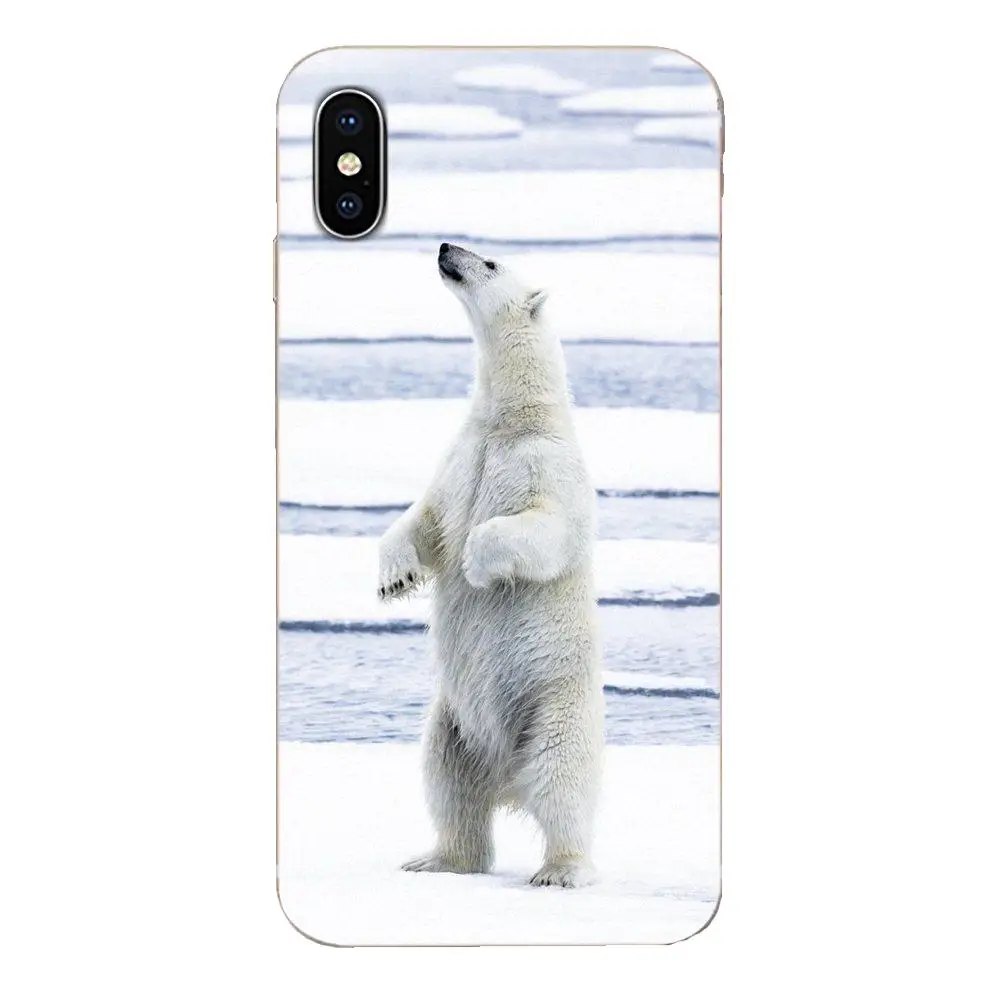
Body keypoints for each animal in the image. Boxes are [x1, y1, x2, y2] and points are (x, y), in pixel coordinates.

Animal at [376, 243, 604, 888]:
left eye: (493, 263)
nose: (446, 248)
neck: (512, 419)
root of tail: (509, 780)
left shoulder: (545, 464)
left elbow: (548, 528)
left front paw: (479, 563)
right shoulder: (460, 459)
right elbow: (426, 520)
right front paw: (394, 576)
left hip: (556, 703)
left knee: (561, 779)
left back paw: (560, 870)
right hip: (455, 721)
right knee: (449, 782)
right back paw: (438, 858)